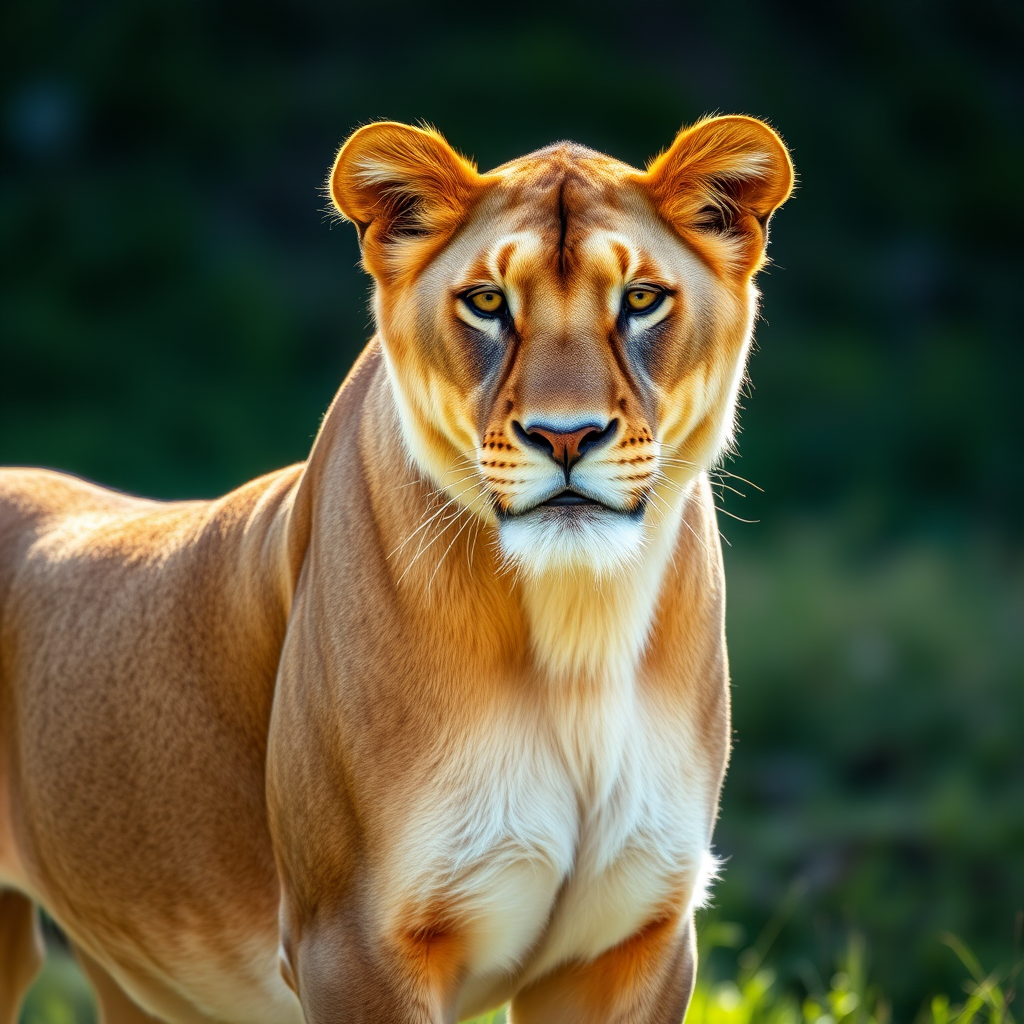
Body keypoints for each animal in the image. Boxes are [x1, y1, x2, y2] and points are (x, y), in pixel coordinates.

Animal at [0, 116, 793, 1023]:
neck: (576, 635)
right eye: (487, 302)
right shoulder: (353, 941)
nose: (565, 436)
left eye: (639, 299)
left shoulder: (633, 942)